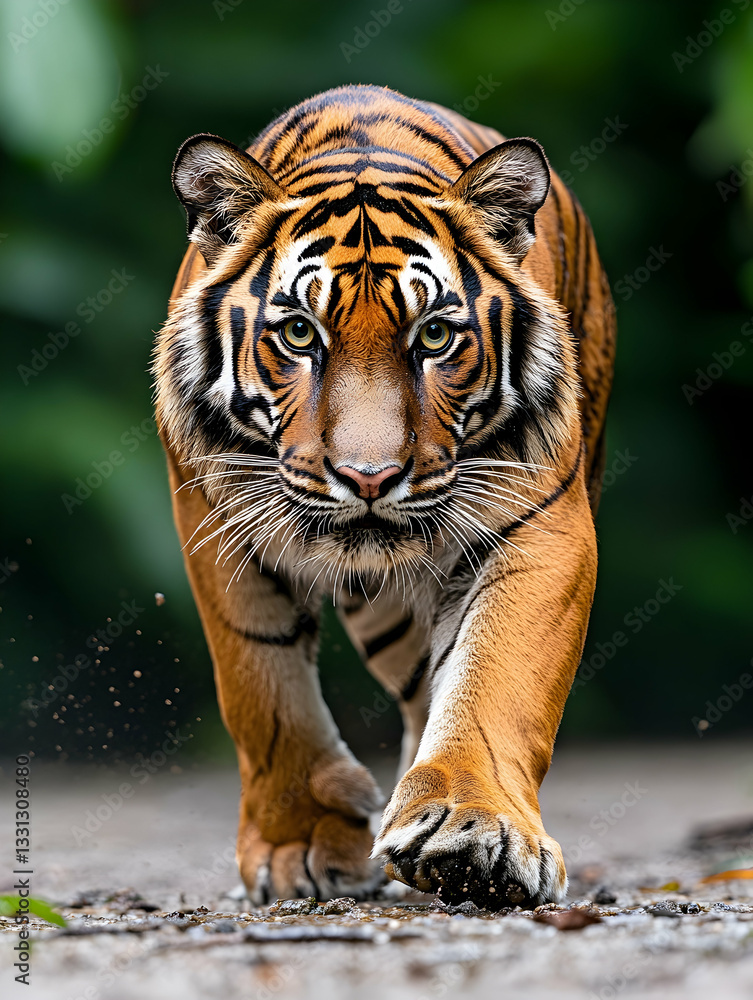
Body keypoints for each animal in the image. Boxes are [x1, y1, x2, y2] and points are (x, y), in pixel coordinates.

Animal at [153, 84, 615, 910]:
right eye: (298, 334)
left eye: (433, 337)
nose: (368, 476)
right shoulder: (215, 522)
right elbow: (262, 693)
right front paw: (299, 846)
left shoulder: (538, 525)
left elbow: (494, 679)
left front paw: (472, 832)